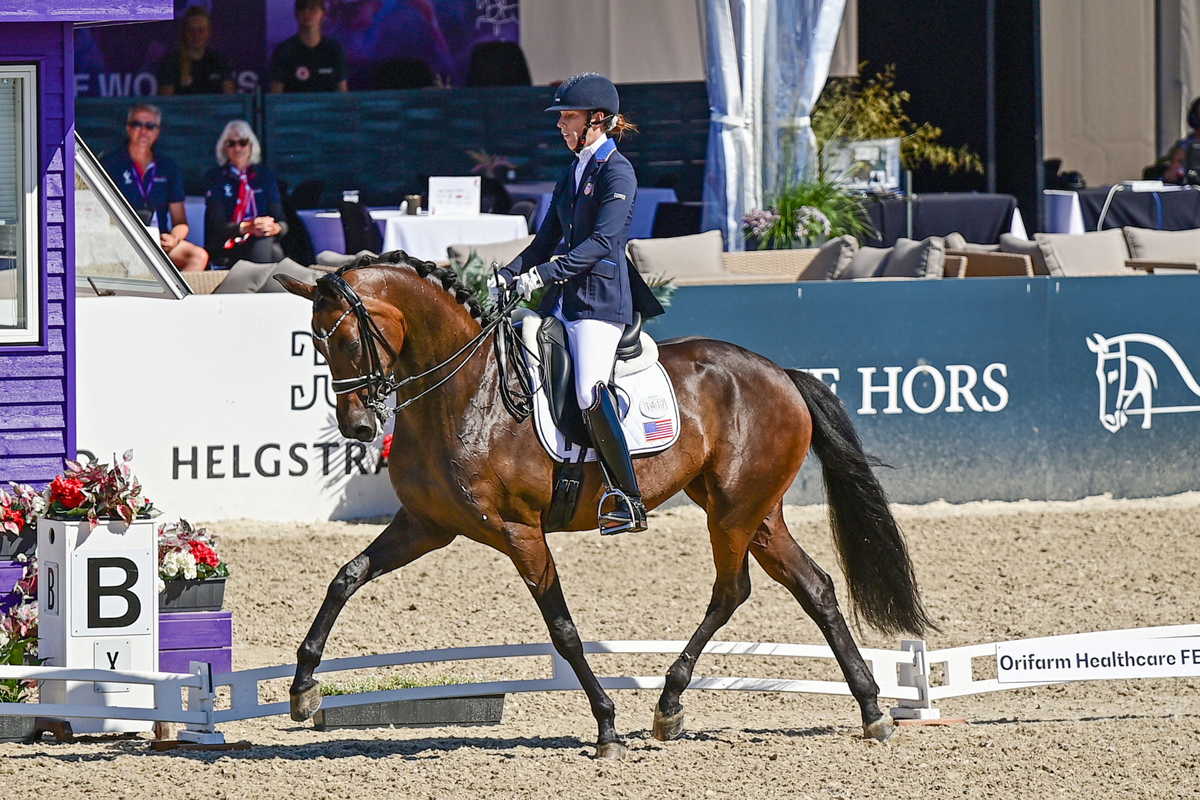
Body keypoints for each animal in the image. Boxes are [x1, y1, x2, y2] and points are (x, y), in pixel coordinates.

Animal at [278, 255, 936, 758]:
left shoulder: (519, 532)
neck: (464, 396)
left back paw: (671, 704)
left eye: (347, 339)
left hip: (733, 512)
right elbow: (345, 577)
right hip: (753, 512)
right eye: (315, 346)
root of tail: (778, 371)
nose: (359, 427)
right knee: (812, 587)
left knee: (733, 590)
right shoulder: (426, 526)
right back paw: (870, 710)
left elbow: (564, 631)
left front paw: (606, 726)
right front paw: (304, 686)